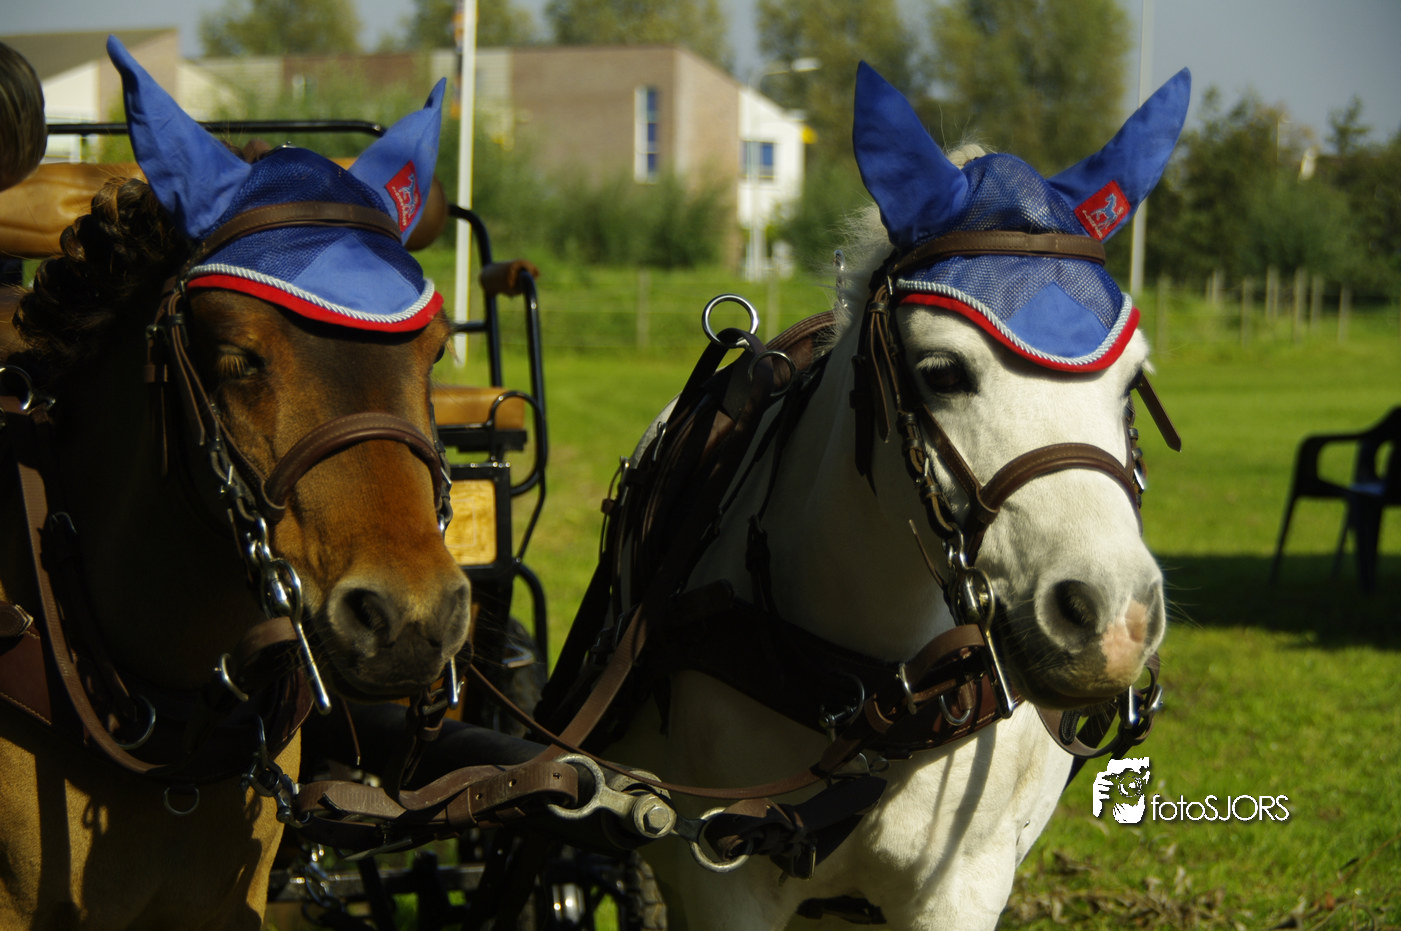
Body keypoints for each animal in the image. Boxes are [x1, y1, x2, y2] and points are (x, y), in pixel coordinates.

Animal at [561, 63, 1191, 930]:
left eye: (1131, 380)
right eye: (941, 372)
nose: (1110, 616)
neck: (877, 695)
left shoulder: (963, 884)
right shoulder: (724, 884)